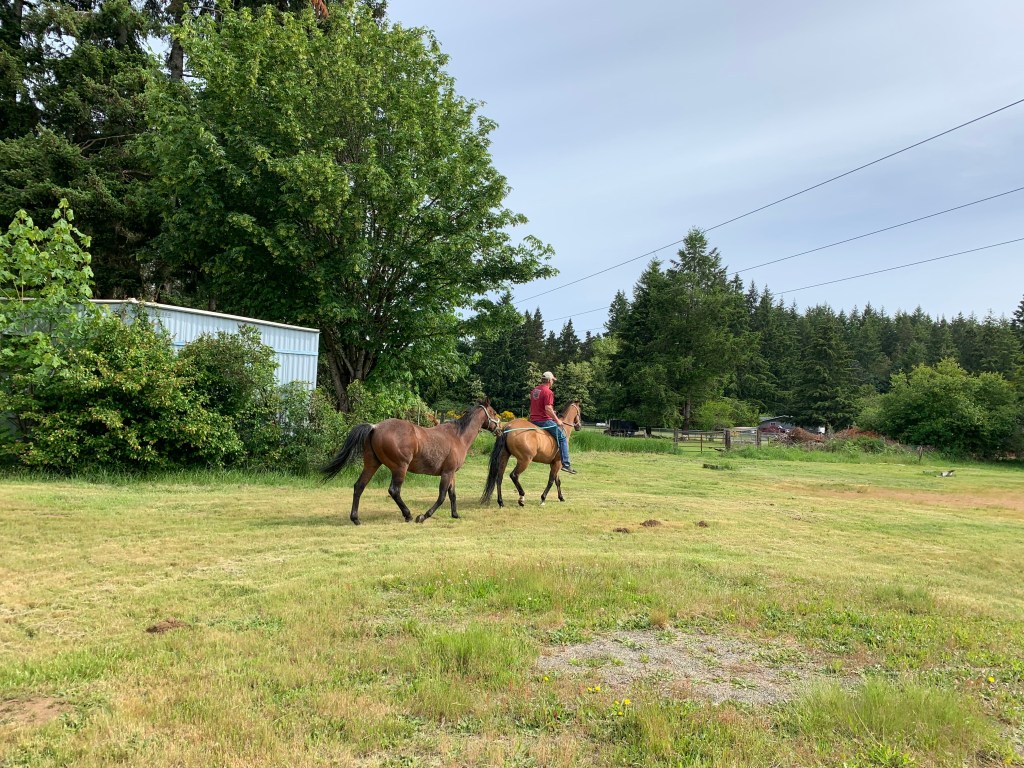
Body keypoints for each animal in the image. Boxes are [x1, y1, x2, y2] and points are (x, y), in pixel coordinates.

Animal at [322, 400, 502, 525]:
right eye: (493, 412)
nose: (500, 429)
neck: (458, 437)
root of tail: (375, 427)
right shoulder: (447, 473)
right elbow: (442, 496)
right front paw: (423, 516)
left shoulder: (452, 474)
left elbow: (452, 494)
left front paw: (455, 514)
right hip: (400, 468)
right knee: (394, 491)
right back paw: (408, 515)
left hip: (372, 465)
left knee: (359, 486)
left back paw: (356, 519)